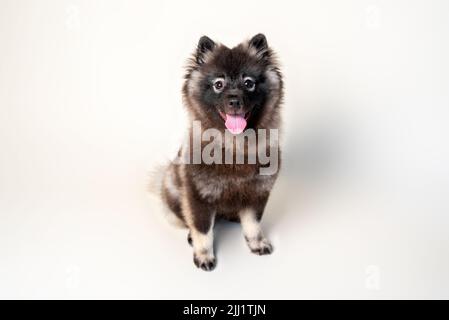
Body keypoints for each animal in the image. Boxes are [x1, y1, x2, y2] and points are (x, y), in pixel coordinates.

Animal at [152, 34, 282, 270]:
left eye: (248, 83)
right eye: (218, 84)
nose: (234, 100)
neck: (234, 145)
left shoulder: (257, 193)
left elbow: (253, 224)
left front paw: (257, 243)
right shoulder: (198, 196)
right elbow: (203, 230)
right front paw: (204, 255)